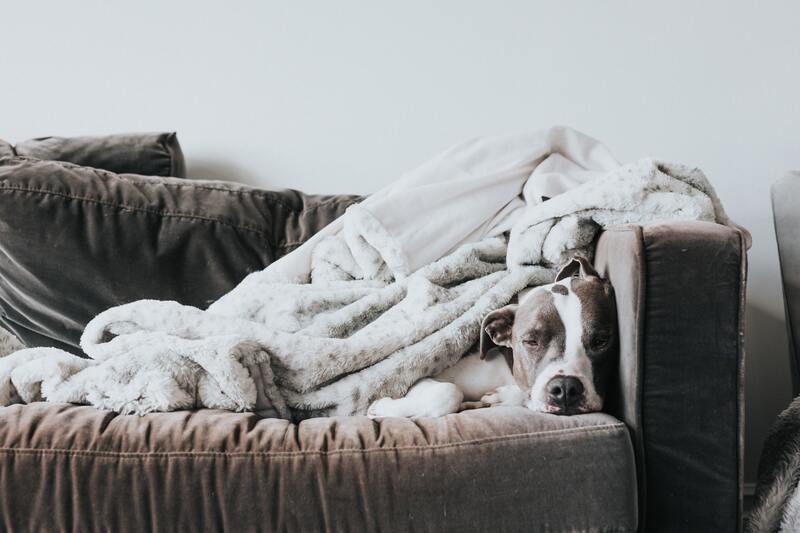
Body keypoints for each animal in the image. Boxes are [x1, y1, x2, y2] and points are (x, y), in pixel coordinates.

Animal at [368, 256, 620, 418]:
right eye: (531, 342)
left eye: (601, 341)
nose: (566, 389)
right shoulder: (418, 379)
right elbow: (449, 392)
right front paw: (380, 407)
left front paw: (502, 398)